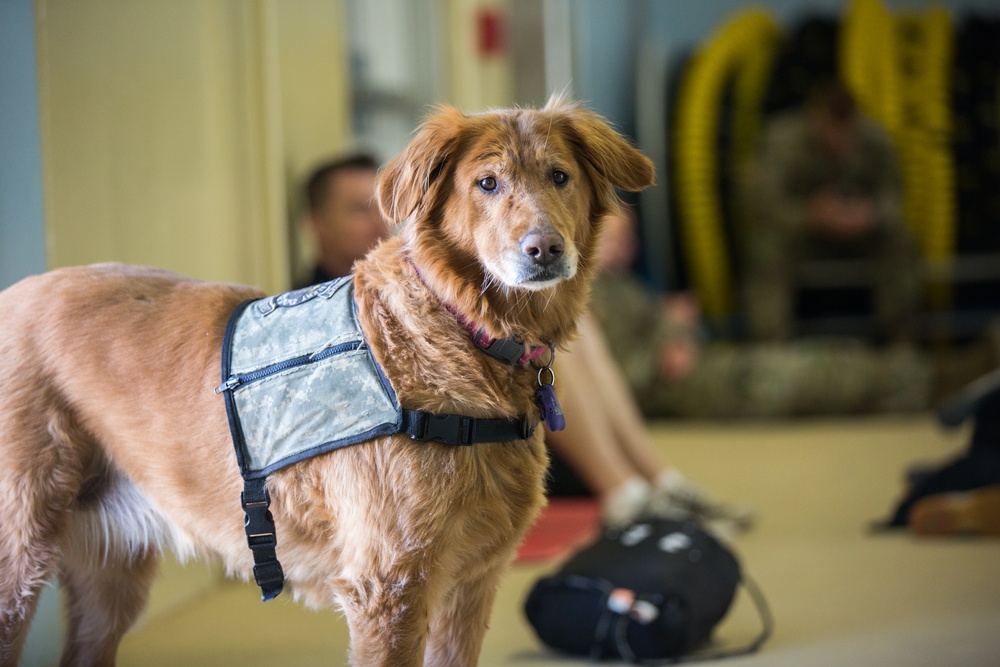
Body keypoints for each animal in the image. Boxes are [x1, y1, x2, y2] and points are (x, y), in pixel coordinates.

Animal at [0, 99, 652, 667]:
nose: (544, 249)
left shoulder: (470, 584)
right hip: (19, 558)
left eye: (560, 176)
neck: (463, 326)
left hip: (110, 579)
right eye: (487, 183)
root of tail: (16, 291)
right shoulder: (391, 590)